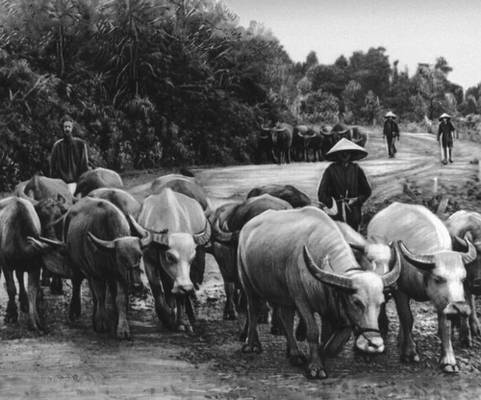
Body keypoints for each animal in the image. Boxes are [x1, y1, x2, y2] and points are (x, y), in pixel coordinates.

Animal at [0, 197, 62, 332]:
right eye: (42, 216)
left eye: (59, 216)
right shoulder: (5, 265)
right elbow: (11, 288)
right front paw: (11, 314)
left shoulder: (34, 266)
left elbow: (32, 289)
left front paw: (35, 322)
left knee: (20, 277)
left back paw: (24, 302)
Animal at [137, 188, 210, 332]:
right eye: (170, 257)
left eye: (192, 257)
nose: (186, 287)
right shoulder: (149, 261)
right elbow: (157, 290)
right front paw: (167, 318)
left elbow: (179, 295)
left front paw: (181, 322)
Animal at [368, 202, 476, 374]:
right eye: (438, 278)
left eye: (463, 278)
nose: (460, 308)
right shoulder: (400, 291)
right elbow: (407, 318)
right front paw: (410, 353)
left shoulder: (443, 301)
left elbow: (445, 325)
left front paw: (449, 361)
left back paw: (400, 339)